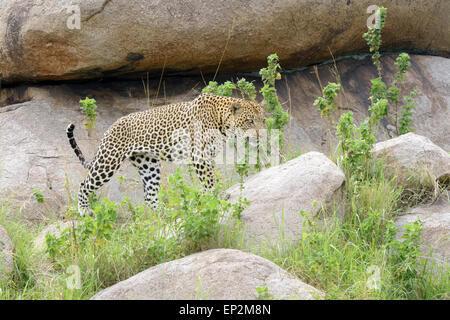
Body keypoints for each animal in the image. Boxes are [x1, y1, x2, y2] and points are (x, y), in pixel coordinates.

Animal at [66, 94, 264, 216]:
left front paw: (211, 195)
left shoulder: (209, 155)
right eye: (250, 121)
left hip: (149, 165)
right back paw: (84, 210)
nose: (262, 135)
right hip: (108, 161)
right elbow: (209, 179)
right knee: (84, 184)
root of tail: (110, 128)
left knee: (150, 197)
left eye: (262, 120)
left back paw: (164, 213)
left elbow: (210, 177)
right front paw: (215, 196)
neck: (221, 121)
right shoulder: (200, 156)